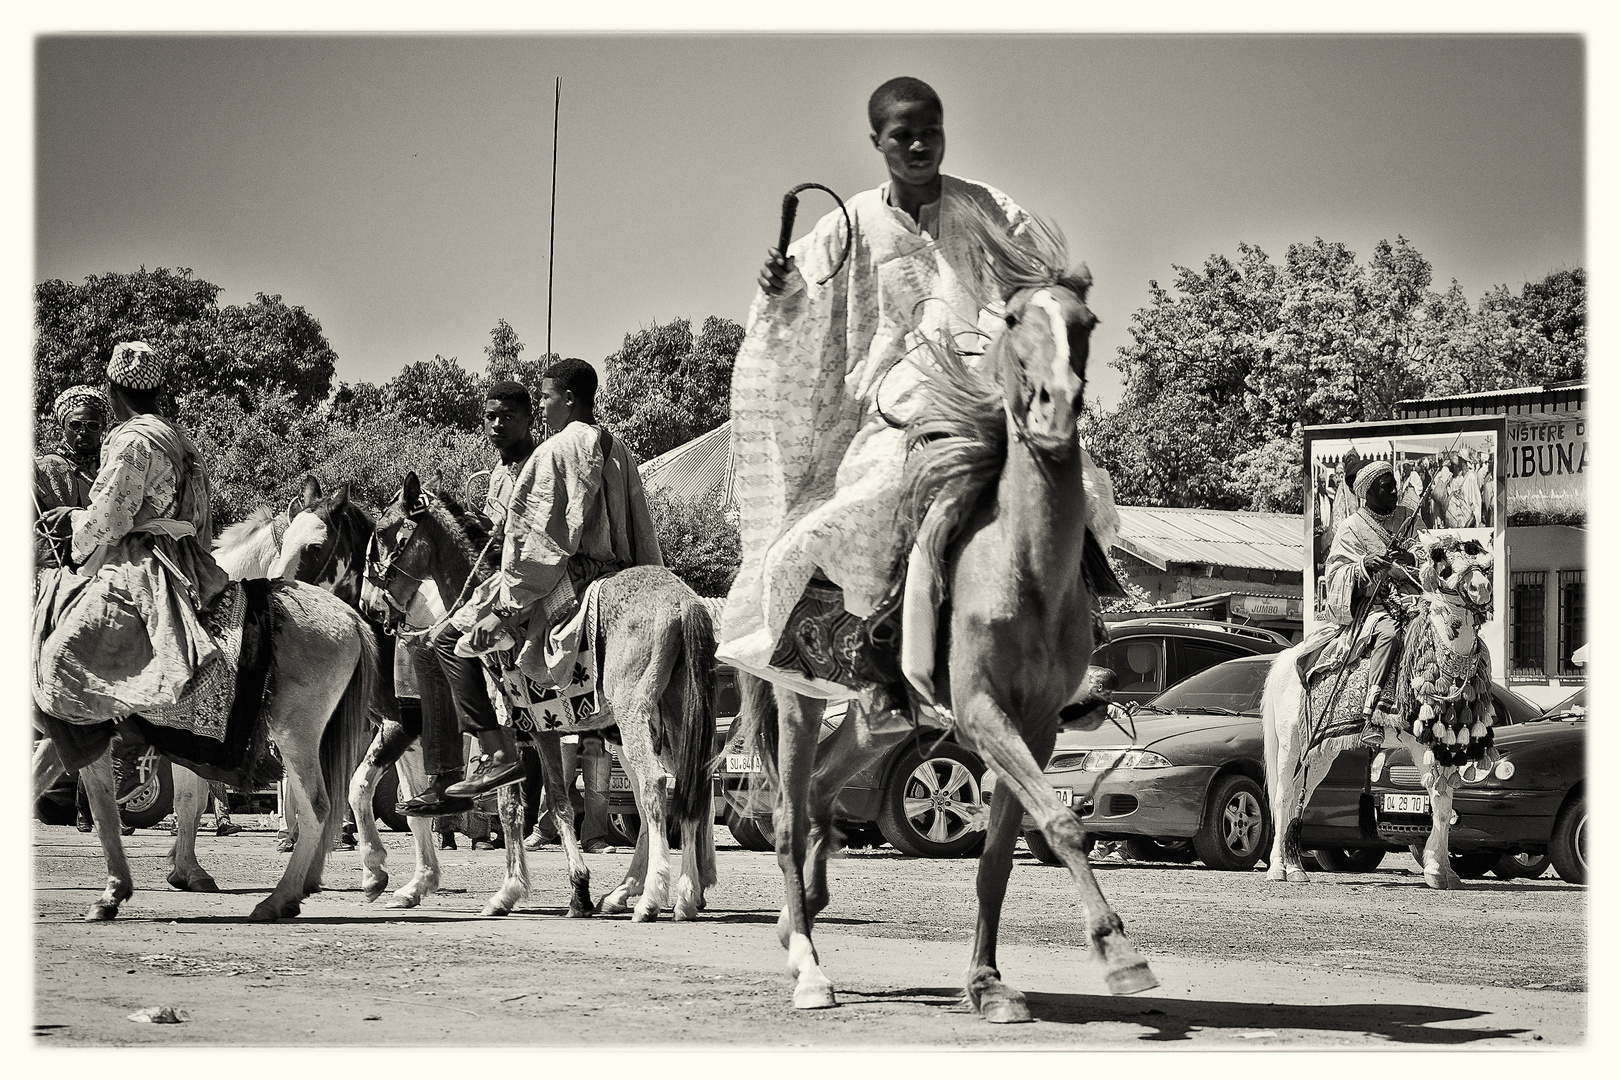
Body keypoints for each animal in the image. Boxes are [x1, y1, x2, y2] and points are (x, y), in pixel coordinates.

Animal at [741, 208, 1159, 1023]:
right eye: (1015, 318)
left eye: (1085, 323)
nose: (1054, 408)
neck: (1023, 572)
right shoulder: (980, 710)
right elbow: (1064, 822)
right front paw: (1120, 954)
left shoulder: (1036, 725)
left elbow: (998, 858)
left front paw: (987, 982)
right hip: (798, 699)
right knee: (786, 818)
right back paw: (807, 963)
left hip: (878, 719)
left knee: (822, 793)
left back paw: (805, 909)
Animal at [1263, 527, 1490, 893]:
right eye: (1442, 558)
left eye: (1476, 552)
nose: (1479, 587)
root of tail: (1287, 659)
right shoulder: (1420, 741)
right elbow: (1438, 798)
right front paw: (1435, 870)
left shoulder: (1447, 741)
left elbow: (1444, 802)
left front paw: (1445, 870)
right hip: (1290, 743)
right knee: (1283, 796)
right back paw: (1278, 868)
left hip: (1320, 751)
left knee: (1302, 793)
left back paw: (1297, 867)